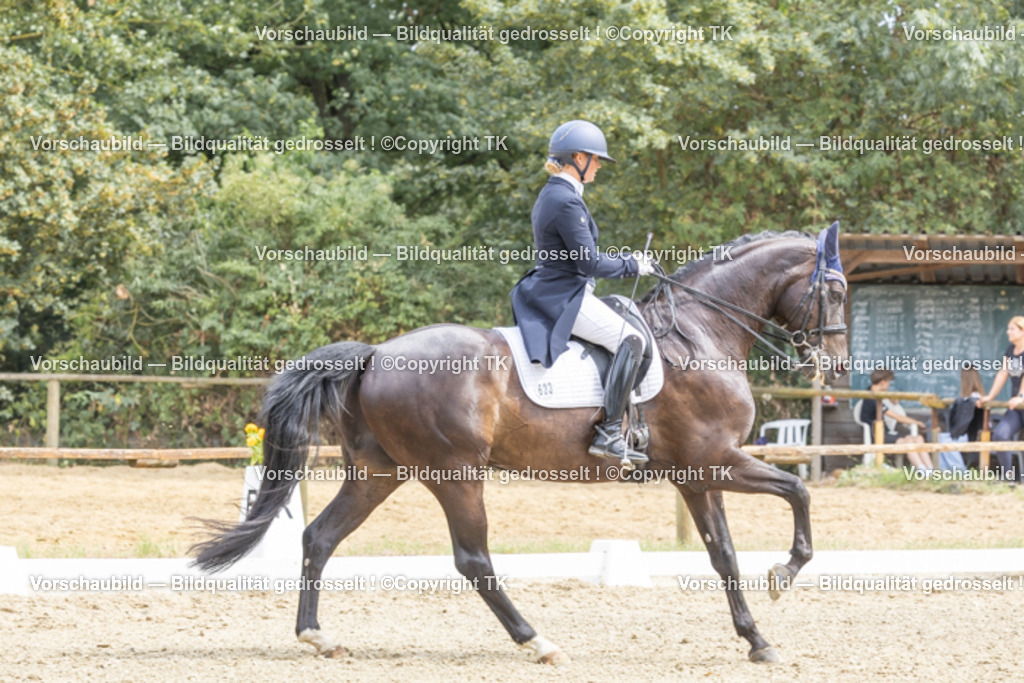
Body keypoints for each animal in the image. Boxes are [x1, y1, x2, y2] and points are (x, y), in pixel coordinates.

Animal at [192, 228, 849, 664]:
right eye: (838, 291)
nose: (838, 366)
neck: (701, 331)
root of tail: (376, 353)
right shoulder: (714, 461)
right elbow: (797, 491)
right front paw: (785, 572)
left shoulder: (696, 474)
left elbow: (724, 555)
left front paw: (757, 639)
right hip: (454, 473)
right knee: (473, 559)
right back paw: (538, 642)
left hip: (380, 471)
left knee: (320, 536)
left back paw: (316, 635)